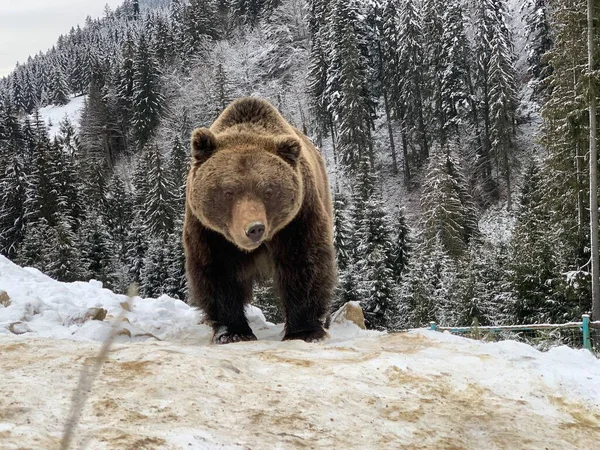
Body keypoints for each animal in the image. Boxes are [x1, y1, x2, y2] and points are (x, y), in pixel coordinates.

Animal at [183, 96, 338, 344]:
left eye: (268, 190)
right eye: (228, 191)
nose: (254, 228)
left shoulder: (296, 220)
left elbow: (303, 263)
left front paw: (304, 331)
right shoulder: (210, 231)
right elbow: (217, 271)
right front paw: (233, 332)